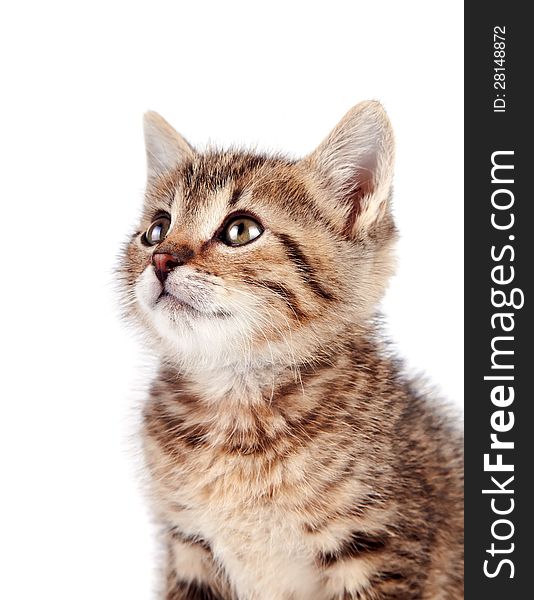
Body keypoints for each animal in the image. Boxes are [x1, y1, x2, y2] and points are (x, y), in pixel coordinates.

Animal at [120, 101, 464, 596]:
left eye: (241, 230)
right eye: (156, 229)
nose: (161, 259)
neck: (235, 408)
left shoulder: (378, 548)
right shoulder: (188, 547)